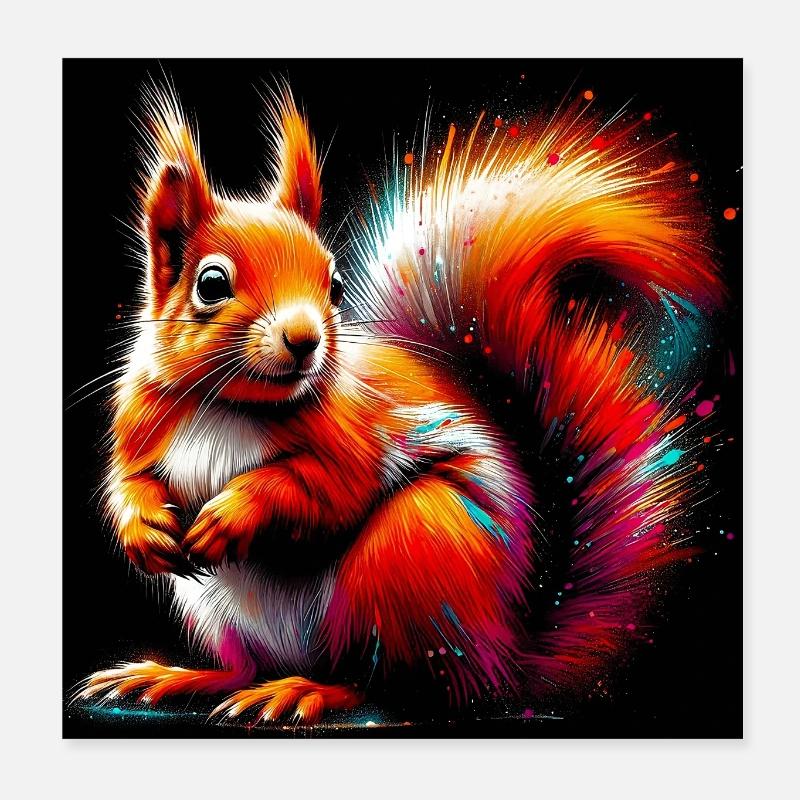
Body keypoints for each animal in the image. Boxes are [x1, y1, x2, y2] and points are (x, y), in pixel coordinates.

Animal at [76, 81, 723, 725]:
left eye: (333, 285)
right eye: (211, 284)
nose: (305, 339)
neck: (229, 404)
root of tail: (504, 658)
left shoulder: (353, 437)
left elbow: (326, 489)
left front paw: (231, 514)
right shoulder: (140, 419)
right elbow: (129, 480)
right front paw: (143, 528)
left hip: (408, 557)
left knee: (392, 685)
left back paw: (307, 691)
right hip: (219, 612)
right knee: (248, 666)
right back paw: (181, 676)